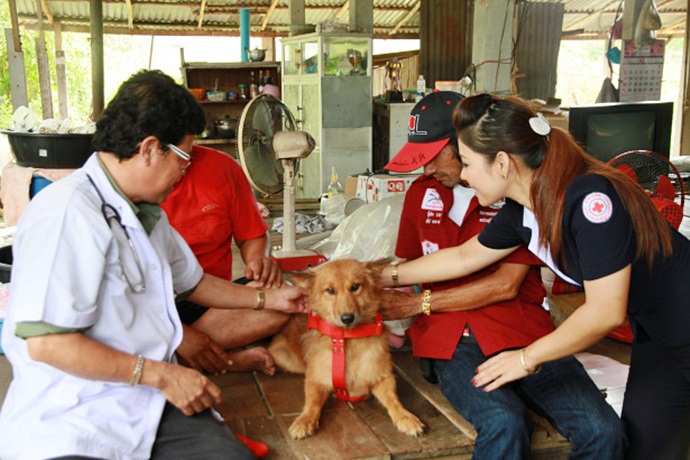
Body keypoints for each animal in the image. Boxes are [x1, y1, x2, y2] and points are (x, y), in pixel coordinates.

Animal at [266, 258, 422, 438]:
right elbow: (312, 401)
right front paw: (304, 420)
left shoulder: (383, 377)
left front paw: (405, 417)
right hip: (284, 357)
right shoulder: (315, 379)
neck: (347, 340)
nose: (347, 318)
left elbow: (393, 399)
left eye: (355, 287)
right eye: (330, 290)